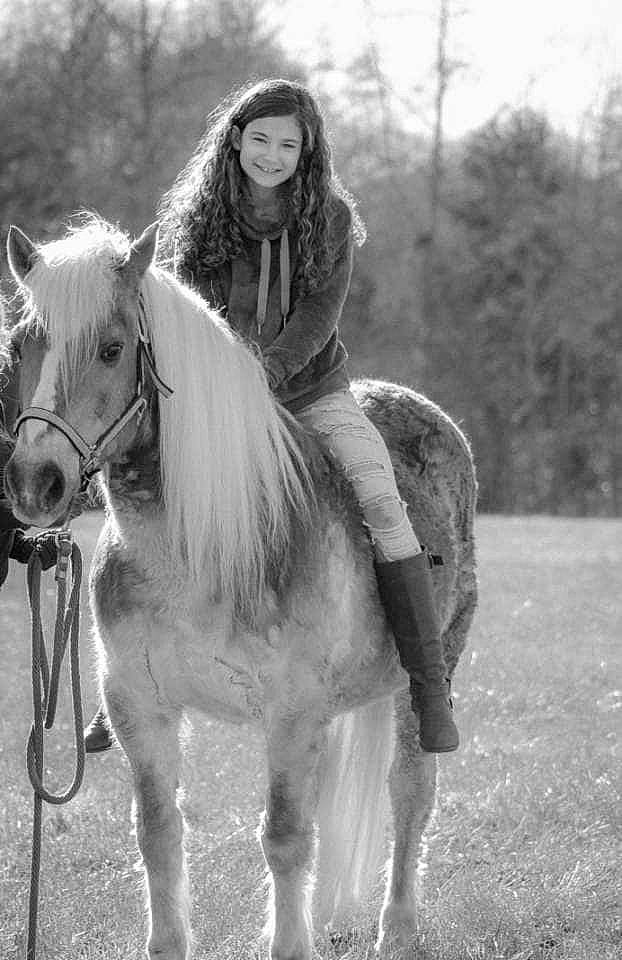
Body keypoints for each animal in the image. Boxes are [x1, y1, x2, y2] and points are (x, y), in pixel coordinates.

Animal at [3, 217, 477, 960]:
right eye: (22, 344)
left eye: (112, 349)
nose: (34, 483)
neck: (204, 547)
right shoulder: (140, 709)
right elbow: (159, 835)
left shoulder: (291, 715)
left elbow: (283, 838)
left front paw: (292, 943)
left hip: (423, 679)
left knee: (410, 792)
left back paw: (397, 927)